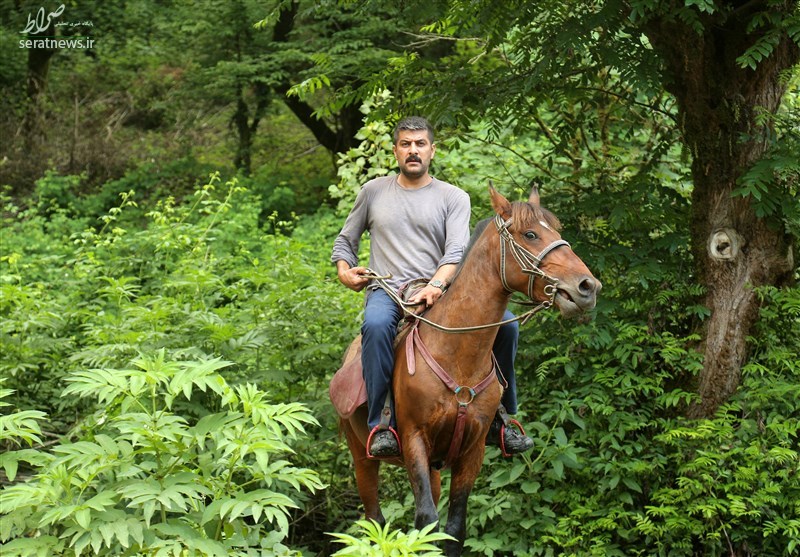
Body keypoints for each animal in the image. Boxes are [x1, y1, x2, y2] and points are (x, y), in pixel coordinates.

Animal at [338, 186, 600, 552]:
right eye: (530, 234)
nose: (587, 287)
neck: (457, 354)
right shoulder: (414, 440)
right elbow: (426, 521)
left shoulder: (472, 450)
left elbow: (452, 528)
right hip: (362, 458)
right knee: (374, 521)